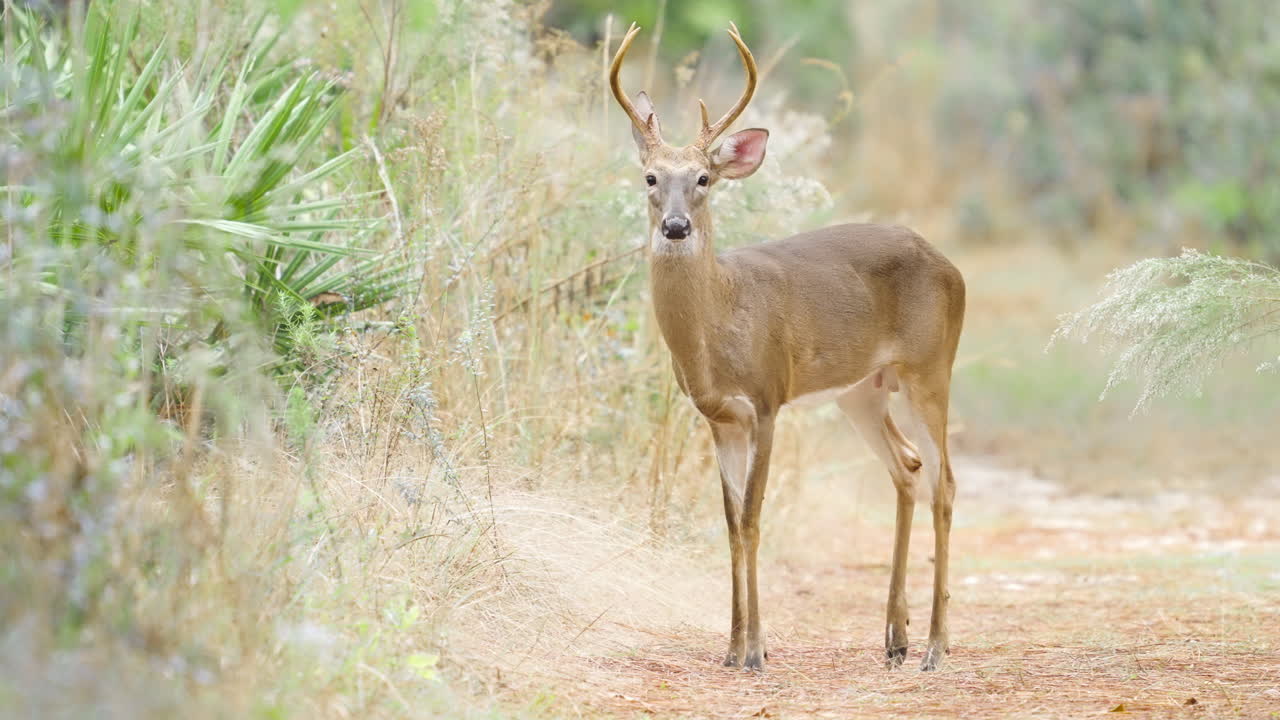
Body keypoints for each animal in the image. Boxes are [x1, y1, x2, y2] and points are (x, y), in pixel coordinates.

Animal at [609, 22, 966, 672]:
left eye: (703, 179)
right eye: (650, 178)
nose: (675, 227)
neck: (720, 325)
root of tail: (951, 266)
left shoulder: (768, 399)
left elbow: (753, 518)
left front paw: (755, 651)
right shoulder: (718, 417)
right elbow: (729, 522)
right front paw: (730, 647)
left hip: (931, 368)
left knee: (944, 481)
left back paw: (935, 645)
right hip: (862, 391)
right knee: (907, 468)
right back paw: (895, 638)